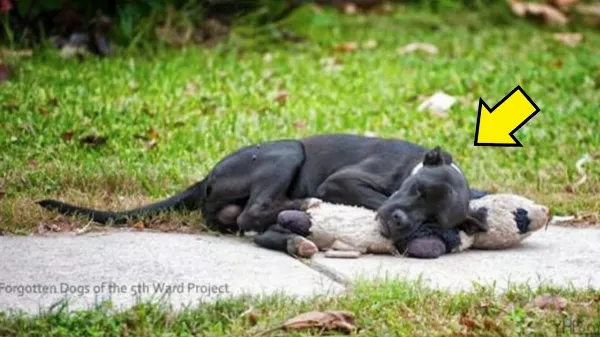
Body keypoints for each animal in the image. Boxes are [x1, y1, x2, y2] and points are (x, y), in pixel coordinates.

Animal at [38, 133, 488, 253]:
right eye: (416, 189)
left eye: (435, 215)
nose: (399, 221)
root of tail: (207, 177)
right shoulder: (342, 182)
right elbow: (374, 199)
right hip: (286, 151)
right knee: (251, 213)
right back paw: (303, 207)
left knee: (246, 218)